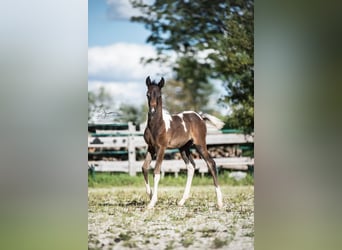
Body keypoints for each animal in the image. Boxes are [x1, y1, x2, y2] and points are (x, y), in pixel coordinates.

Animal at [141, 76, 223, 209]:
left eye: (159, 95)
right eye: (148, 94)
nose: (152, 111)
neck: (157, 125)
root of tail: (200, 117)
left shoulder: (161, 148)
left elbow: (156, 172)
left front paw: (152, 202)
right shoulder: (151, 147)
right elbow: (144, 167)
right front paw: (150, 195)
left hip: (199, 144)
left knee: (211, 163)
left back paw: (220, 202)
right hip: (184, 148)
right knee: (191, 166)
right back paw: (182, 200)